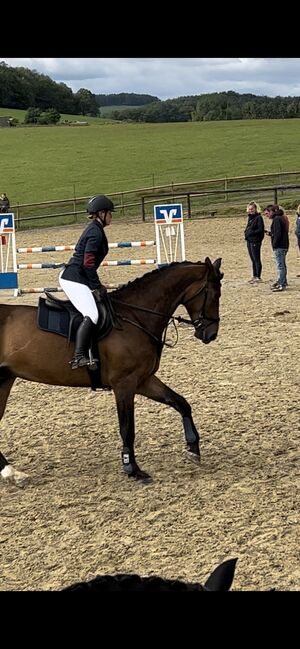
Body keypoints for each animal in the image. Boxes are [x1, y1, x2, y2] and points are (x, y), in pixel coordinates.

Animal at [0, 258, 223, 486]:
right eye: (214, 294)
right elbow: (127, 428)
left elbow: (181, 403)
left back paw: (12, 473)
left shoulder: (143, 380)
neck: (136, 317)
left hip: (4, 380)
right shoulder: (124, 384)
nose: (211, 334)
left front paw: (193, 448)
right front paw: (132, 468)